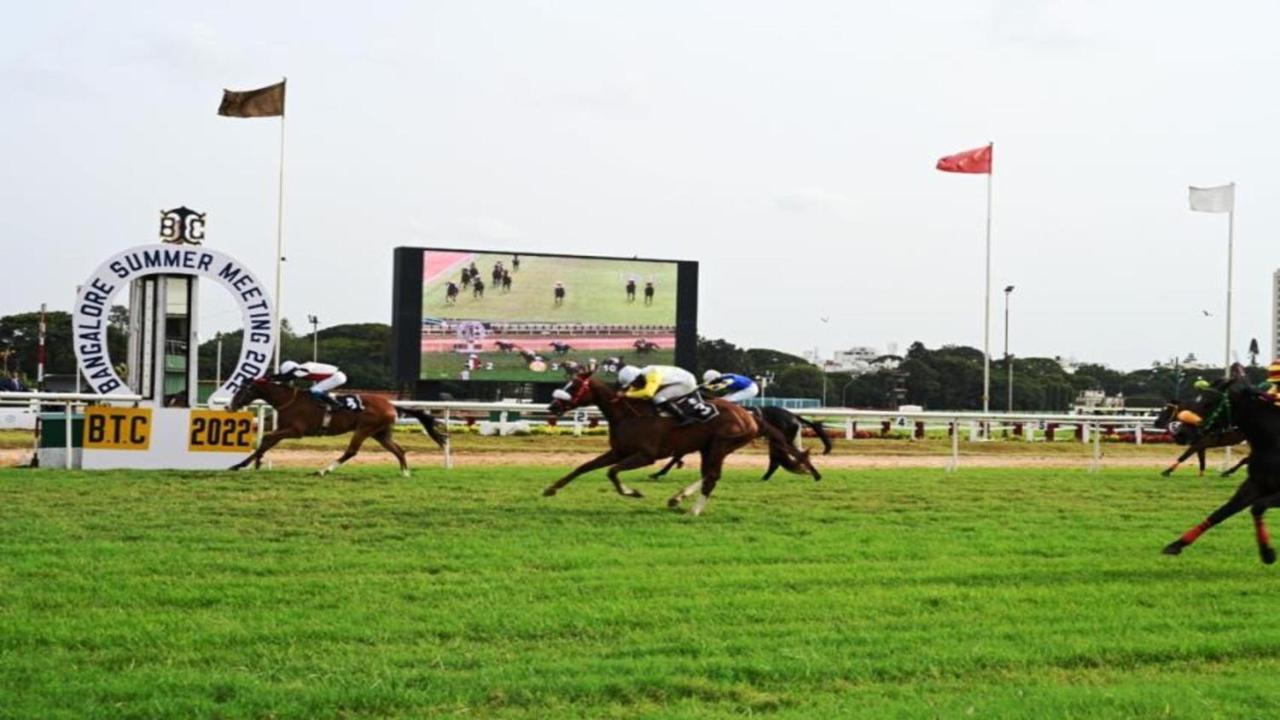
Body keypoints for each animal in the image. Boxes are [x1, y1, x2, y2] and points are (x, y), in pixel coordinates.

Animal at [227, 379, 448, 474]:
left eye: (241, 390)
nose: (230, 406)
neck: (288, 400)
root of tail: (391, 404)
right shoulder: (285, 430)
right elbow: (267, 442)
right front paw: (242, 464)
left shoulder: (296, 431)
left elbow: (266, 438)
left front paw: (246, 464)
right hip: (380, 434)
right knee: (399, 450)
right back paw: (405, 472)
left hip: (364, 429)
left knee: (351, 451)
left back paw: (324, 470)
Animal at [545, 371, 814, 512]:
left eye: (574, 386)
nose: (553, 406)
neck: (629, 414)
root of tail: (750, 416)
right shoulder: (619, 451)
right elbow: (584, 467)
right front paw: (552, 488)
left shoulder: (646, 455)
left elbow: (612, 472)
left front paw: (633, 492)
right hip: (708, 447)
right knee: (708, 475)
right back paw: (678, 499)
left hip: (721, 444)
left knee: (712, 476)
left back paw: (693, 510)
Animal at [655, 404, 834, 476]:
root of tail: (793, 415)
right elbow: (678, 455)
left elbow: (678, 455)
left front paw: (659, 472)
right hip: (778, 441)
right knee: (780, 460)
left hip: (782, 440)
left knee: (788, 458)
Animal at [1167, 366, 1280, 563]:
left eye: (1208, 403)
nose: (1180, 432)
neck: (1274, 442)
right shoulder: (1255, 484)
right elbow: (1221, 512)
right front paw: (1177, 544)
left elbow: (1257, 507)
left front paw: (1267, 552)